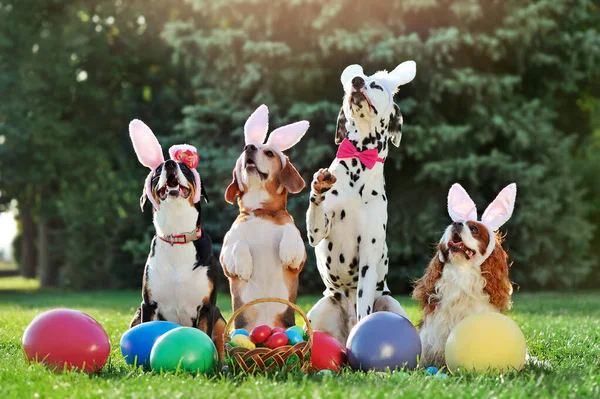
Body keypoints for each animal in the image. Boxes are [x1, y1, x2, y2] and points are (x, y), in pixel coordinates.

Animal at [128, 120, 225, 358]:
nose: (170, 163)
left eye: (185, 168)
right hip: (136, 314)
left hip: (220, 317)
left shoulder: (207, 306)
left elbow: (206, 336)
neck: (177, 234)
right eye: (158, 170)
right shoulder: (148, 305)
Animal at [220, 105, 310, 332]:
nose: (249, 147)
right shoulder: (225, 259)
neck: (261, 212)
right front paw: (244, 266)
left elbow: (291, 230)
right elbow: (238, 243)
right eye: (245, 148)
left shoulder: (299, 261)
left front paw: (286, 251)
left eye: (269, 152)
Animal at [304, 61, 418, 344]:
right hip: (319, 311)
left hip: (390, 303)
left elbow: (365, 305)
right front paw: (319, 184)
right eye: (353, 82)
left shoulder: (368, 253)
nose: (356, 81)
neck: (359, 161)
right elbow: (316, 210)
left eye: (375, 84)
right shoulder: (316, 232)